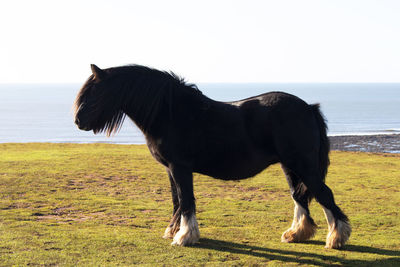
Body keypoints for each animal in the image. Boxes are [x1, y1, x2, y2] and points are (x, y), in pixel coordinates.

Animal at [74, 64, 350, 249]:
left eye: (95, 92)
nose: (78, 121)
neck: (170, 113)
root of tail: (308, 108)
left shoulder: (180, 167)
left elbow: (186, 201)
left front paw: (184, 236)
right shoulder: (170, 169)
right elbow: (177, 201)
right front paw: (174, 230)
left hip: (302, 164)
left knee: (324, 194)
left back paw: (336, 238)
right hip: (289, 166)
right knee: (300, 196)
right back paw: (296, 234)